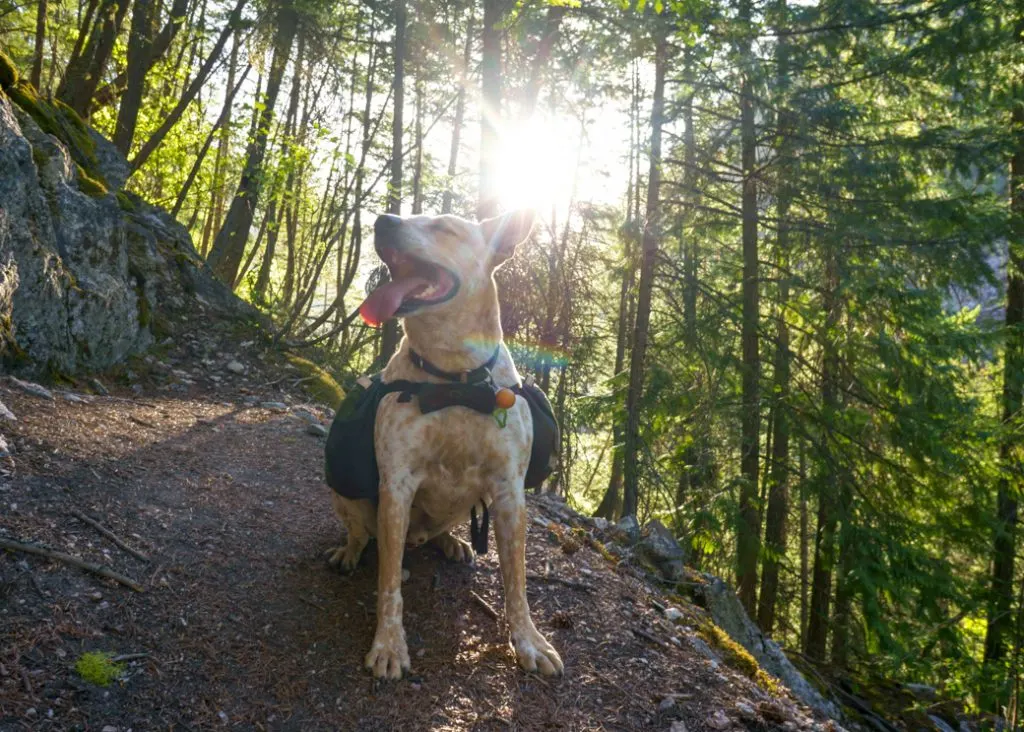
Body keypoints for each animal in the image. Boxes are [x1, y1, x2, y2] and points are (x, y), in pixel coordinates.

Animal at [327, 210, 565, 679]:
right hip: (347, 495)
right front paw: (389, 644)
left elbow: (517, 580)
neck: (454, 379)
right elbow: (388, 586)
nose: (383, 219)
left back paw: (451, 543)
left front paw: (529, 640)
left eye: (443, 227)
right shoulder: (396, 485)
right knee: (365, 534)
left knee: (438, 531)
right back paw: (352, 551)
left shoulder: (509, 492)